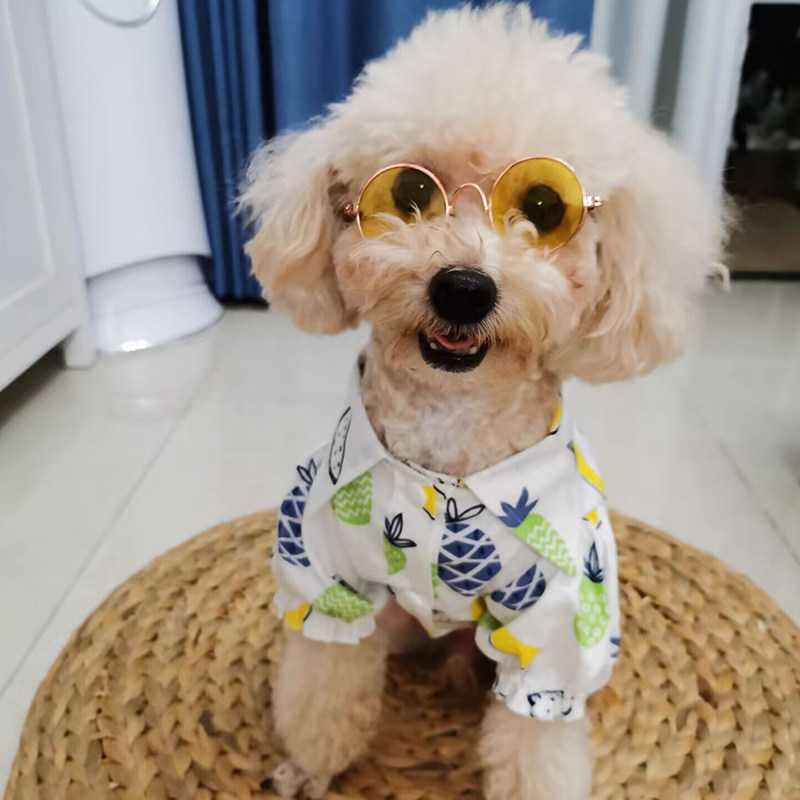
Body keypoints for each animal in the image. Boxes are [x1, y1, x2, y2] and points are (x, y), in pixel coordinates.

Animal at [241, 5, 724, 798]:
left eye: (545, 206)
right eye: (407, 194)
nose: (463, 288)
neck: (451, 428)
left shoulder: (558, 629)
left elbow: (536, 744)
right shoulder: (323, 573)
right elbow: (325, 684)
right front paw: (310, 766)